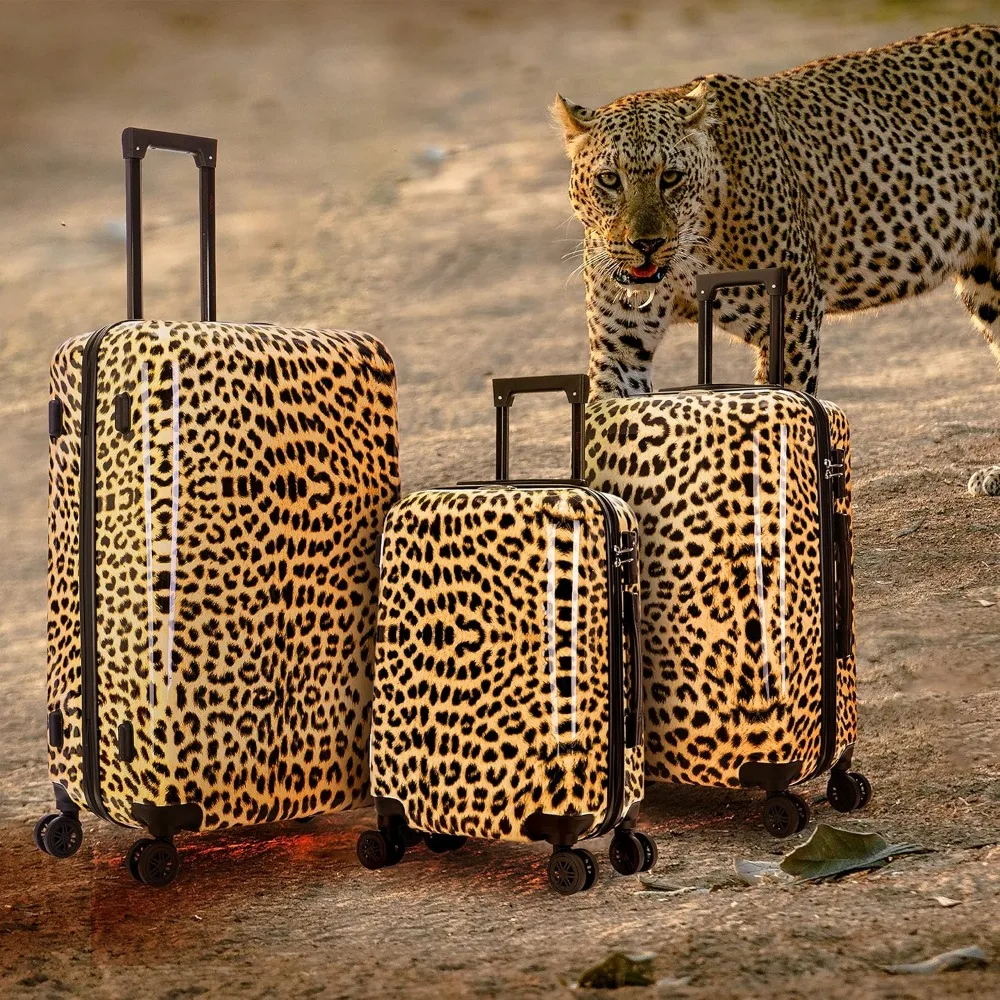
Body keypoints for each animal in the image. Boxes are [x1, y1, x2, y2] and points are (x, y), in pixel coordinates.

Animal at [553, 24, 1000, 497]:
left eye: (670, 177)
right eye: (609, 180)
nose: (646, 244)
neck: (686, 263)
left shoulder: (791, 318)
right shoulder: (621, 346)